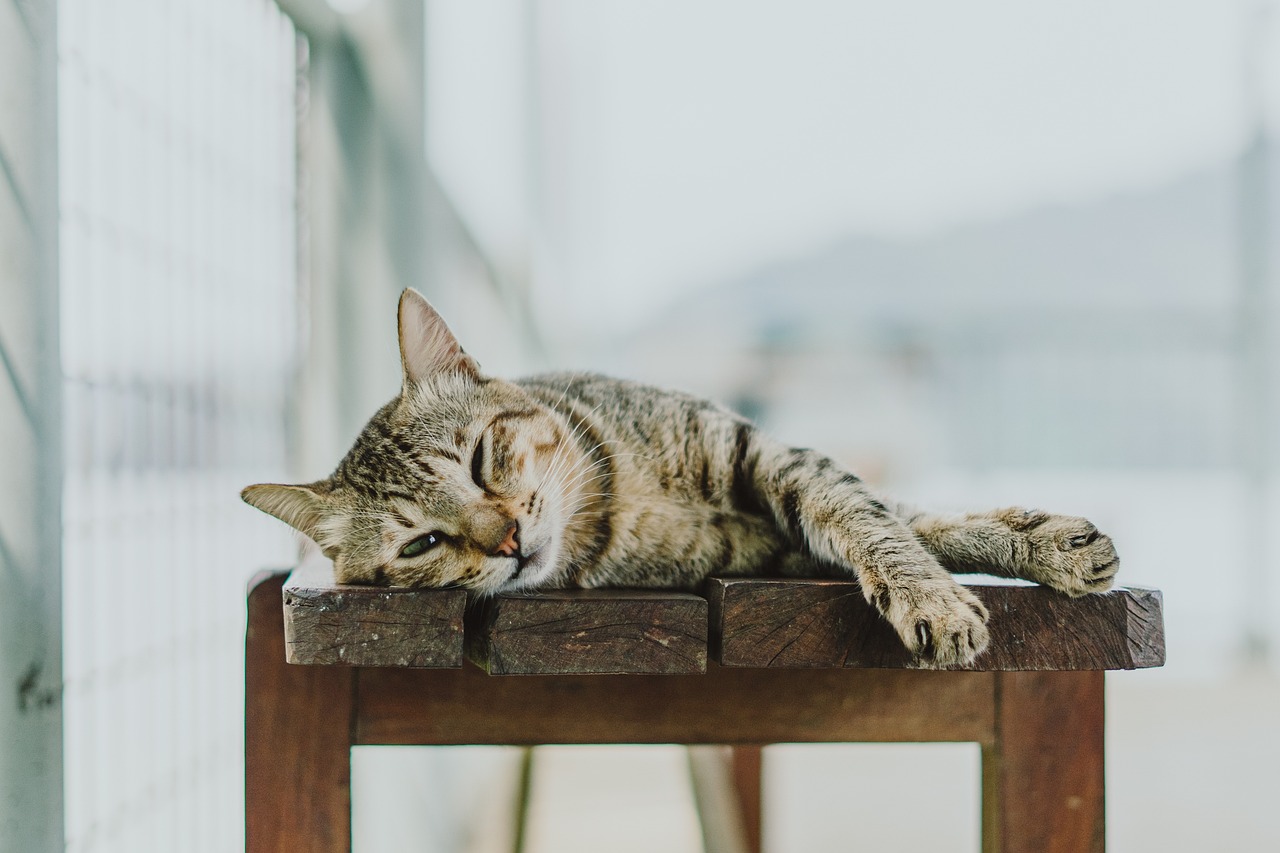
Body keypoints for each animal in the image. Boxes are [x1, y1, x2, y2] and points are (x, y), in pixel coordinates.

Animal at [241, 286, 1121, 666]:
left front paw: (1026, 550)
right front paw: (948, 588)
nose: (510, 539)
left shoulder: (771, 456)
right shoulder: (778, 544)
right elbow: (895, 521)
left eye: (482, 457)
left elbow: (888, 519)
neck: (613, 502)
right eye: (423, 542)